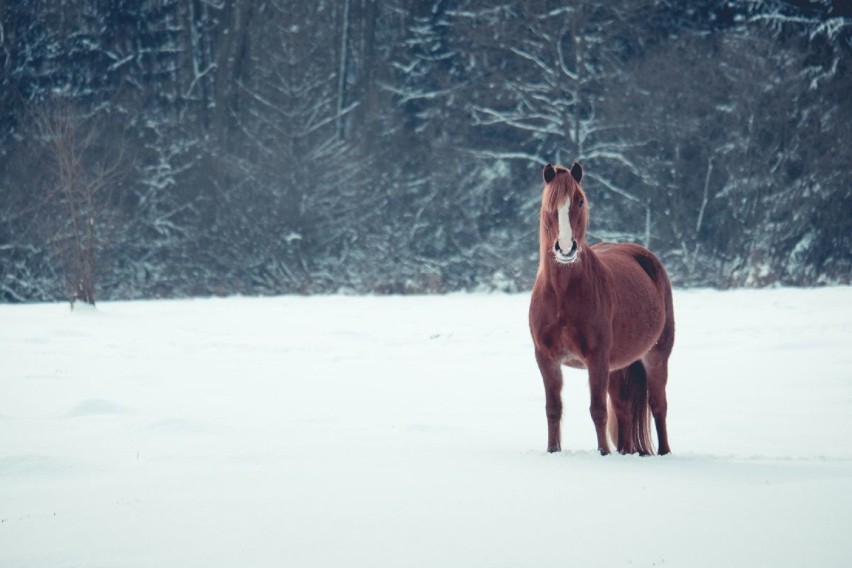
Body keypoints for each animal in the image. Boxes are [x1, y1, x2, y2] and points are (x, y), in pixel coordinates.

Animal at [528, 162, 676, 454]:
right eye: (549, 204)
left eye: (579, 201)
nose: (565, 249)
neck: (562, 294)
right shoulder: (546, 358)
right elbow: (553, 409)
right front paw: (553, 451)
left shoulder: (596, 358)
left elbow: (597, 410)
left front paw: (604, 454)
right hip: (619, 365)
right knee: (623, 407)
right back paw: (628, 452)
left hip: (656, 356)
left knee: (658, 406)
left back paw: (664, 452)